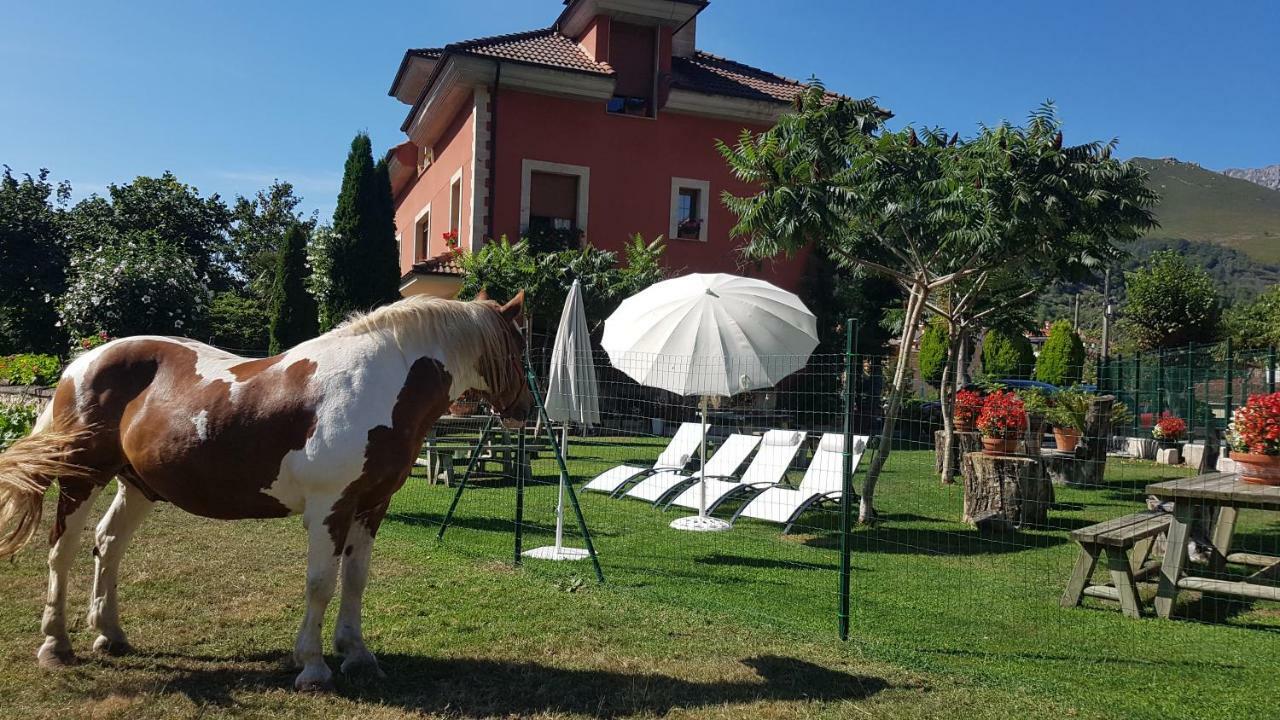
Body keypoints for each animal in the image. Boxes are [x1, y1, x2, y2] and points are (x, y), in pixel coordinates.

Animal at [0, 293, 529, 691]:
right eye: (522, 348)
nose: (525, 409)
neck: (379, 385)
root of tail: (79, 365)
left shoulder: (371, 506)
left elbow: (356, 580)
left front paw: (357, 655)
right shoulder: (330, 507)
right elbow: (321, 583)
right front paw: (313, 666)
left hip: (138, 484)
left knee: (108, 544)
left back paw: (110, 635)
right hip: (81, 476)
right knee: (62, 551)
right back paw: (55, 646)